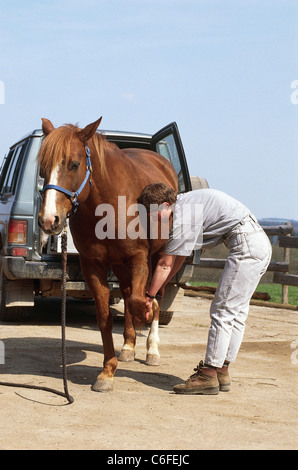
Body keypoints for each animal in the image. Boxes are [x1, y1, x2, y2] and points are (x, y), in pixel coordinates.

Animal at [37, 117, 177, 392]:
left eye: (74, 164)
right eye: (42, 169)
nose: (49, 220)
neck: (109, 207)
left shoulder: (139, 259)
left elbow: (139, 301)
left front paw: (145, 322)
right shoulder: (93, 265)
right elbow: (105, 317)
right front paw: (107, 372)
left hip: (160, 257)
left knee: (154, 298)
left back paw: (152, 350)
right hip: (120, 266)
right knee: (127, 293)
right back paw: (128, 347)